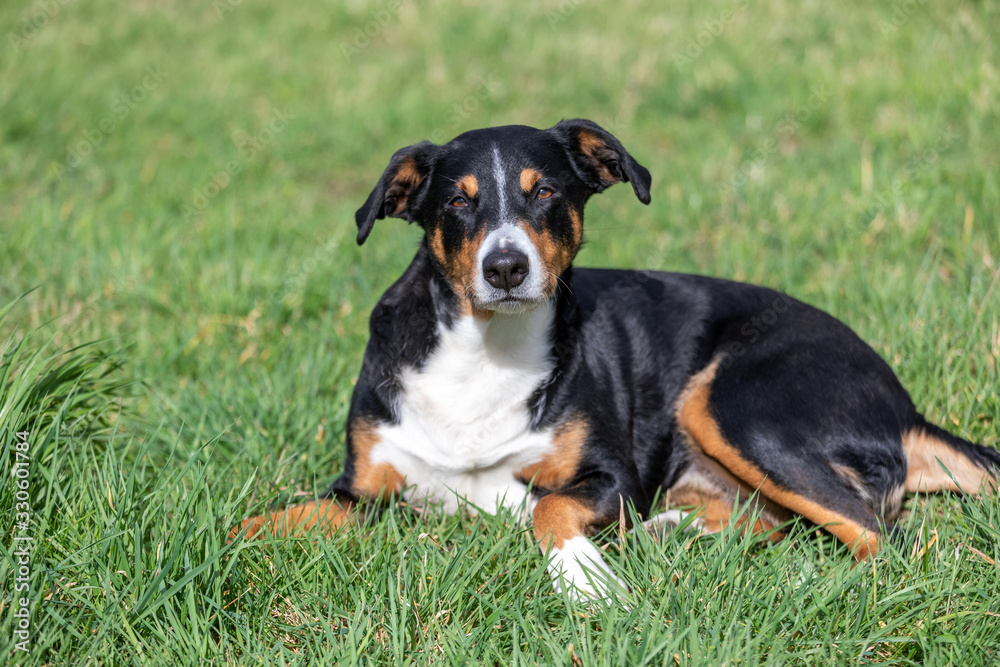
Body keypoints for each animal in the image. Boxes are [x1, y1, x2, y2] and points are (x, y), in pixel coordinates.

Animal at [230, 118, 996, 600]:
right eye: (456, 202)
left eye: (545, 191)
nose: (505, 267)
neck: (487, 350)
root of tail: (903, 403)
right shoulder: (359, 491)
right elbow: (262, 521)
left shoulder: (609, 477)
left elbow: (548, 509)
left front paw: (587, 581)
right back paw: (673, 532)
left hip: (736, 405)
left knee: (880, 538)